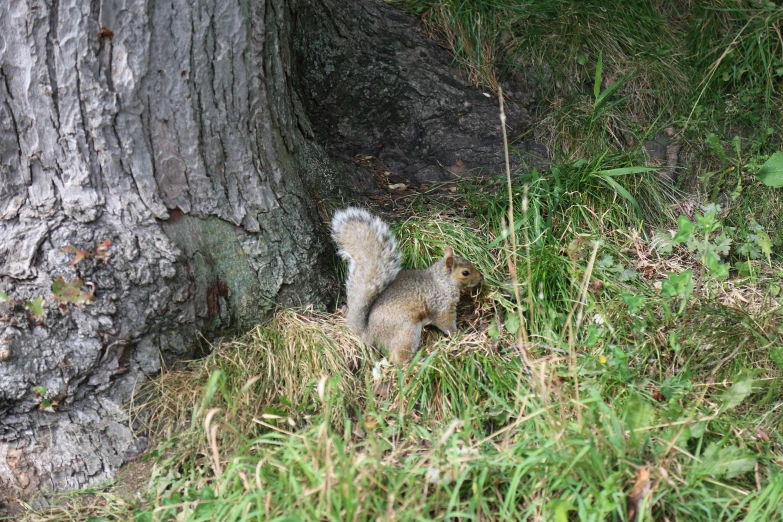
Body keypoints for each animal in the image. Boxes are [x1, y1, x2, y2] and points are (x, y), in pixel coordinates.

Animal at [332, 206, 484, 362]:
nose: (481, 277)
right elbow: (445, 322)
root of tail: (370, 334)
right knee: (397, 358)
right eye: (465, 273)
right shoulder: (441, 305)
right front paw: (458, 334)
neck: (442, 281)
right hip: (406, 332)